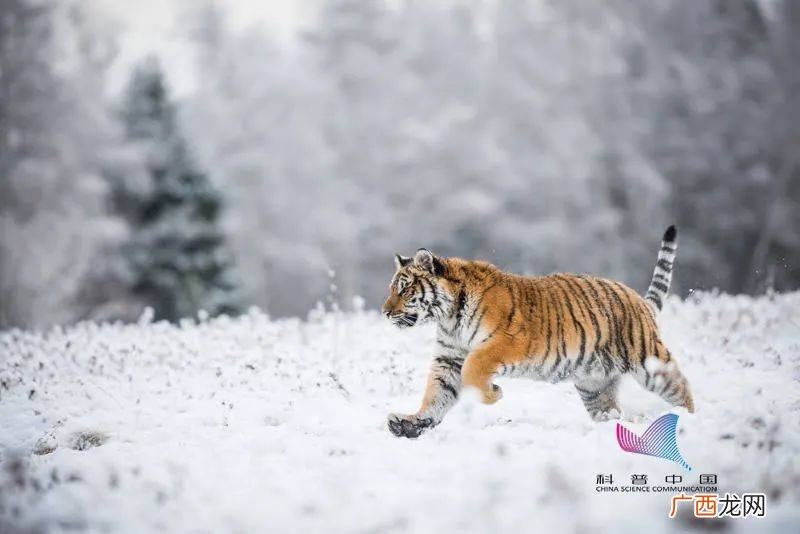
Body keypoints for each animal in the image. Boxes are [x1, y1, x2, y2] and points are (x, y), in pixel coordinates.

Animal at [382, 225, 694, 438]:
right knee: (610, 411)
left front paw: (494, 394)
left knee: (682, 389)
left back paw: (686, 419)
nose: (385, 312)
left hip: (650, 363)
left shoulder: (505, 342)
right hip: (594, 385)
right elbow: (437, 394)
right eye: (392, 289)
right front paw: (410, 423)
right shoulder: (449, 358)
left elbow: (474, 368)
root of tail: (638, 298)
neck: (448, 317)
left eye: (404, 289)